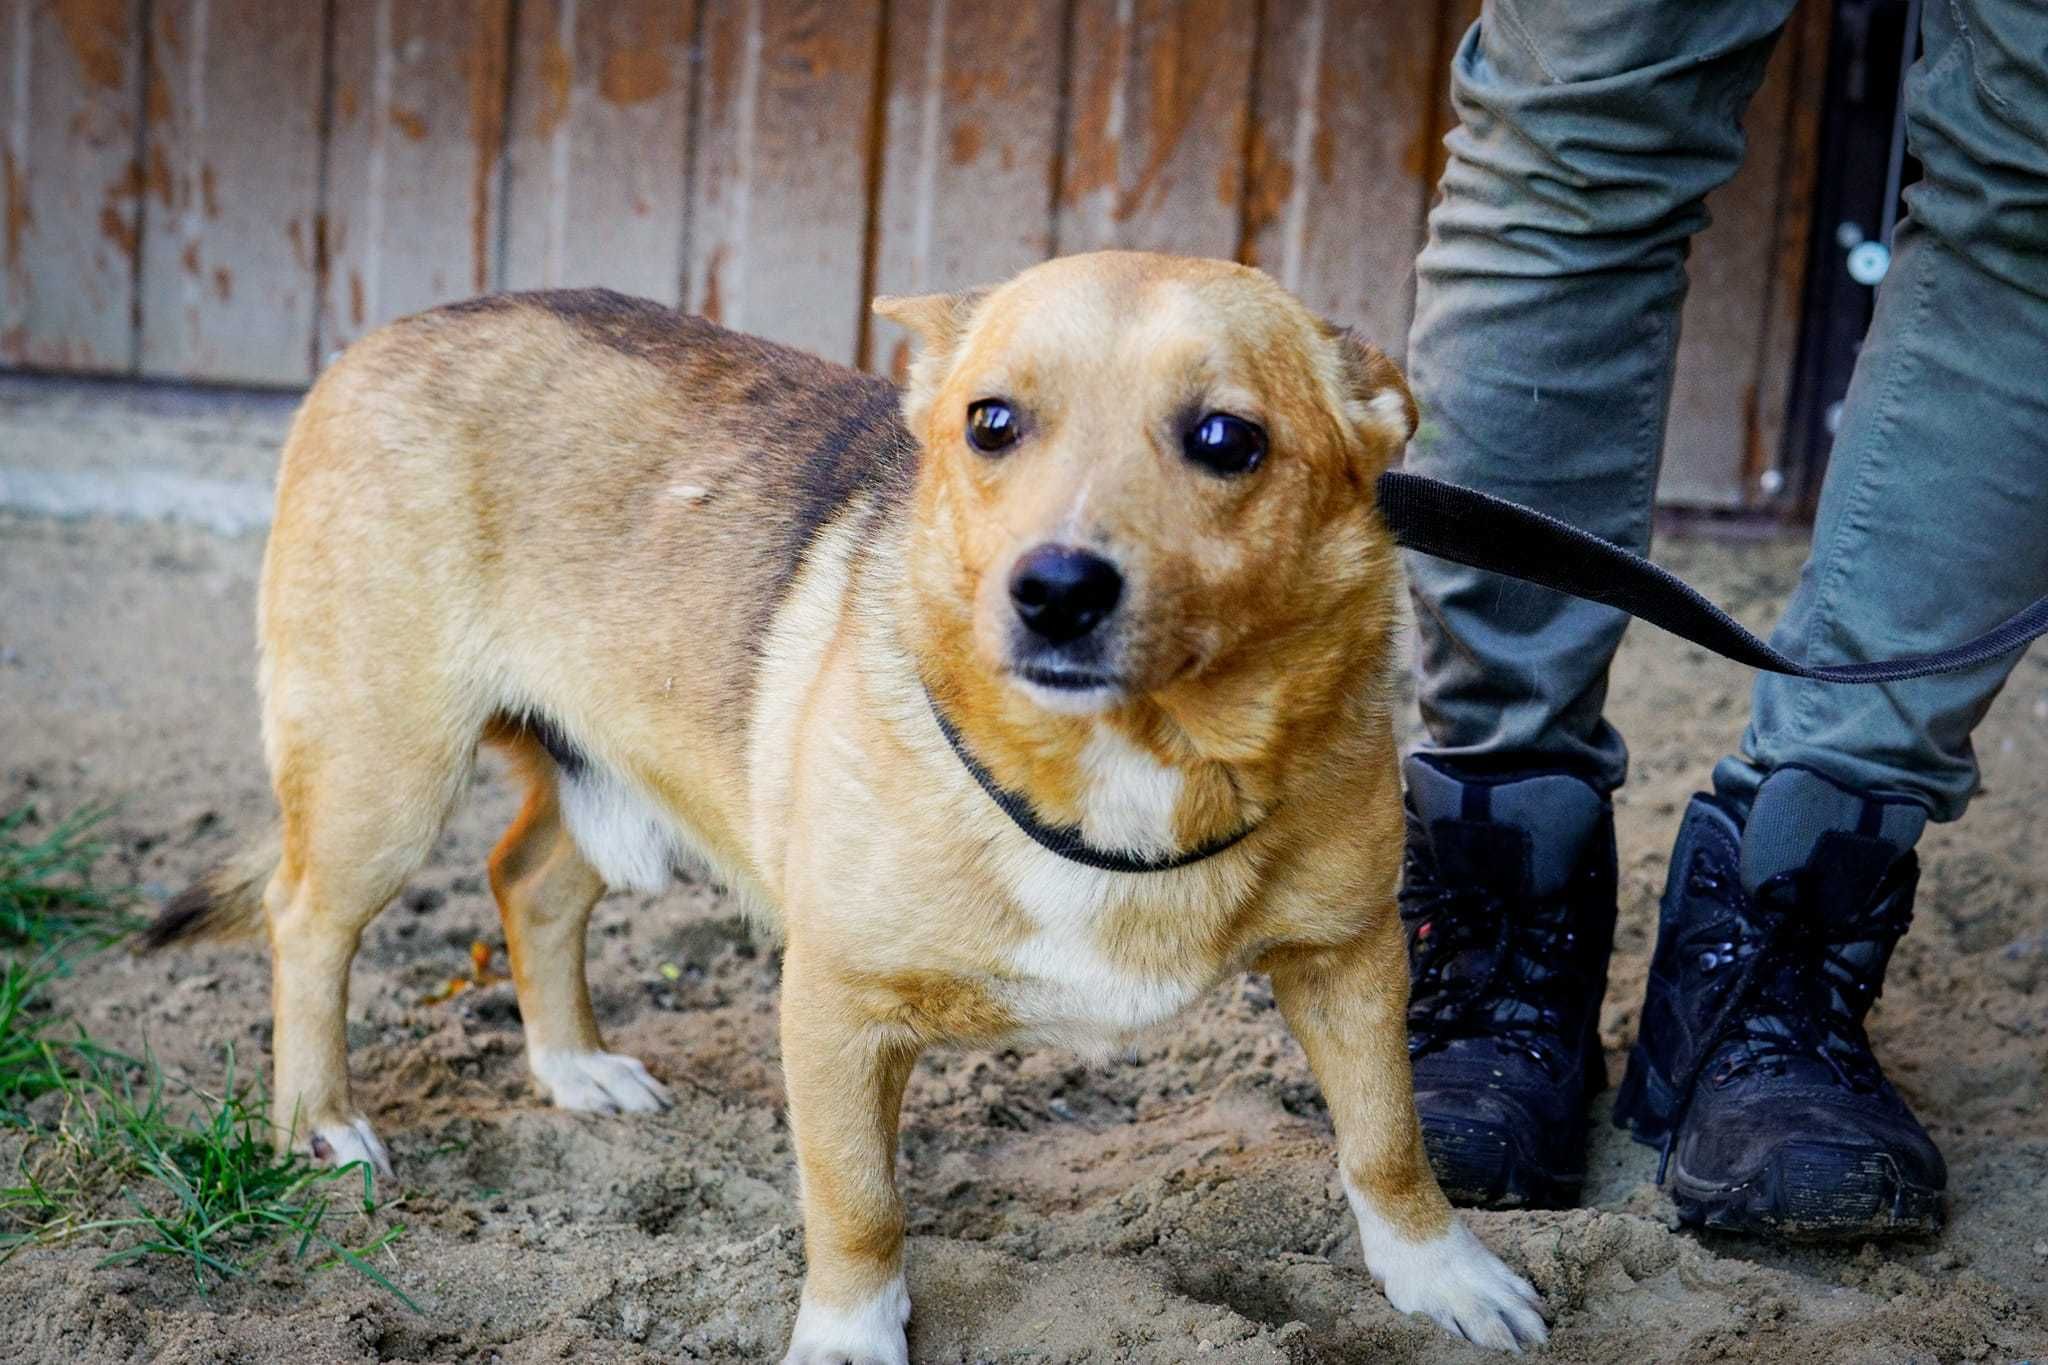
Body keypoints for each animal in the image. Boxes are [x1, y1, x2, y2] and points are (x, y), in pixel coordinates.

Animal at [148, 253, 1548, 1358]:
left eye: (1225, 440)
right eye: (990, 423)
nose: (1053, 591)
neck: (1126, 758)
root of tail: (389, 331)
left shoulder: (1350, 956)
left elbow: (1385, 1138)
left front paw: (1441, 1274)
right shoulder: (834, 1007)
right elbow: (857, 1203)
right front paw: (845, 1337)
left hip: (630, 775)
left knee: (528, 880)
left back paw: (572, 1067)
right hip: (383, 776)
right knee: (306, 922)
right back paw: (321, 1122)